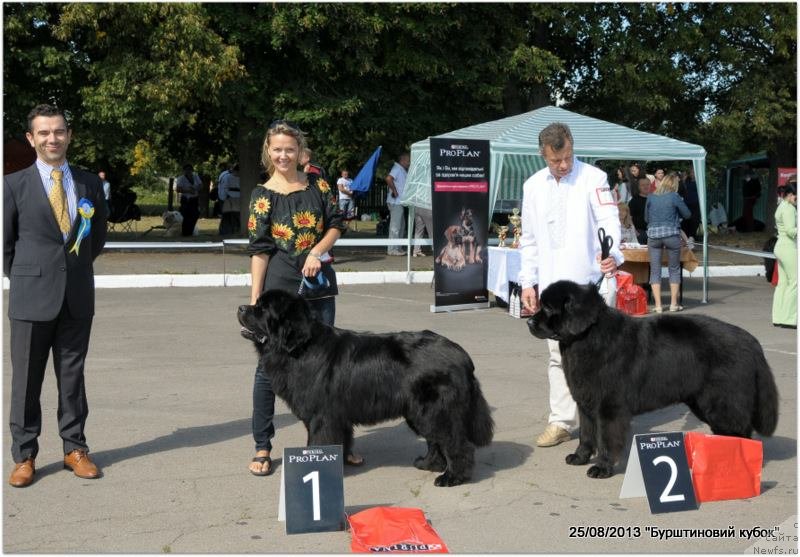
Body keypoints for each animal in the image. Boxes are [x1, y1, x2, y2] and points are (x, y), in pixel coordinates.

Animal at [236, 288, 494, 484]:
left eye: (262, 309)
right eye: (256, 303)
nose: (240, 308)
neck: (300, 348)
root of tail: (462, 356)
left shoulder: (322, 416)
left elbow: (319, 442)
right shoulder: (335, 416)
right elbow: (340, 440)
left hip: (435, 411)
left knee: (456, 442)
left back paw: (452, 477)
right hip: (420, 412)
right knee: (436, 440)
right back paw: (428, 464)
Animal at [528, 282, 780, 478]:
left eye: (548, 308)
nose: (529, 322)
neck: (586, 338)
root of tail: (750, 341)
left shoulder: (609, 407)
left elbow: (606, 438)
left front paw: (602, 467)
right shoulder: (586, 402)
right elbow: (586, 434)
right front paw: (580, 457)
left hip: (721, 403)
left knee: (740, 433)